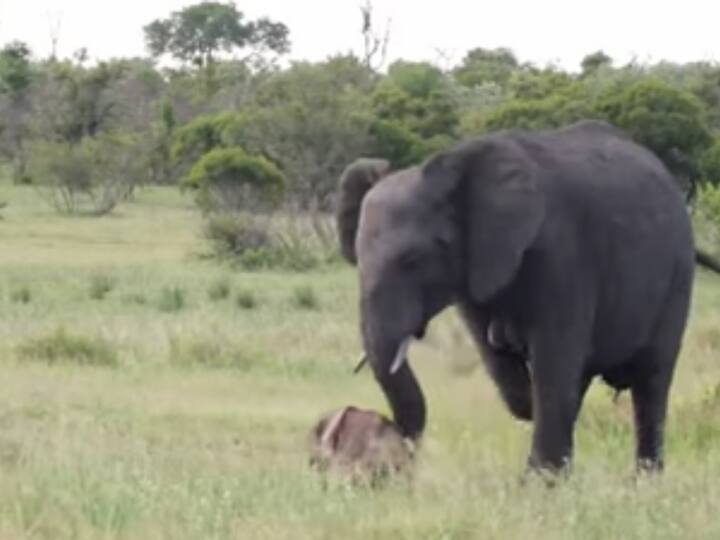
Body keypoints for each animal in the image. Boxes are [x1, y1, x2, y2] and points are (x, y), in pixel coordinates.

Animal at [338, 121, 720, 472]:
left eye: (413, 260)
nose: (384, 428)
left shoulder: (562, 255)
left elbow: (554, 364)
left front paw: (542, 482)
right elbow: (502, 364)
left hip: (677, 275)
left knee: (652, 382)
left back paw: (645, 479)